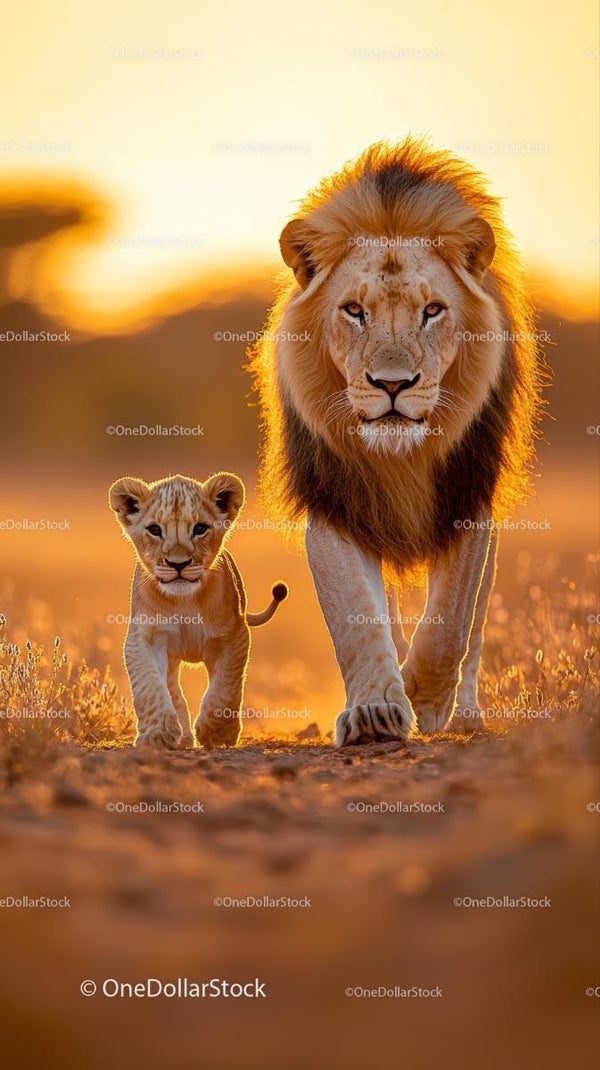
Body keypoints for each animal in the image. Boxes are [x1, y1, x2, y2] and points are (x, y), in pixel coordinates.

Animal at [109, 472, 288, 749]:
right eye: (155, 530)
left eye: (200, 529)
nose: (178, 564)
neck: (184, 602)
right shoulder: (144, 637)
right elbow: (149, 686)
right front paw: (157, 734)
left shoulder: (234, 636)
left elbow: (225, 686)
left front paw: (217, 733)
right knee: (172, 688)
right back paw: (180, 735)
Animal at [251, 137, 542, 746]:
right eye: (353, 311)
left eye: (432, 311)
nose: (391, 384)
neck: (399, 455)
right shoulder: (335, 501)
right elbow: (357, 616)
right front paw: (376, 709)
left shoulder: (467, 497)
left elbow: (451, 623)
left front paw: (426, 701)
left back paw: (467, 714)